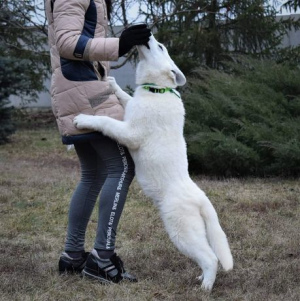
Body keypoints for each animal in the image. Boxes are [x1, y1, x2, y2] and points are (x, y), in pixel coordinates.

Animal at [74, 34, 233, 290]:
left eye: (159, 46)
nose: (147, 34)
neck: (158, 89)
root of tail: (201, 199)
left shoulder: (130, 132)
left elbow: (106, 121)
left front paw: (84, 119)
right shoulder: (131, 109)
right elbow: (125, 97)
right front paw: (112, 83)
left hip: (181, 231)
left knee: (210, 258)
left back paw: (206, 286)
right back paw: (202, 278)